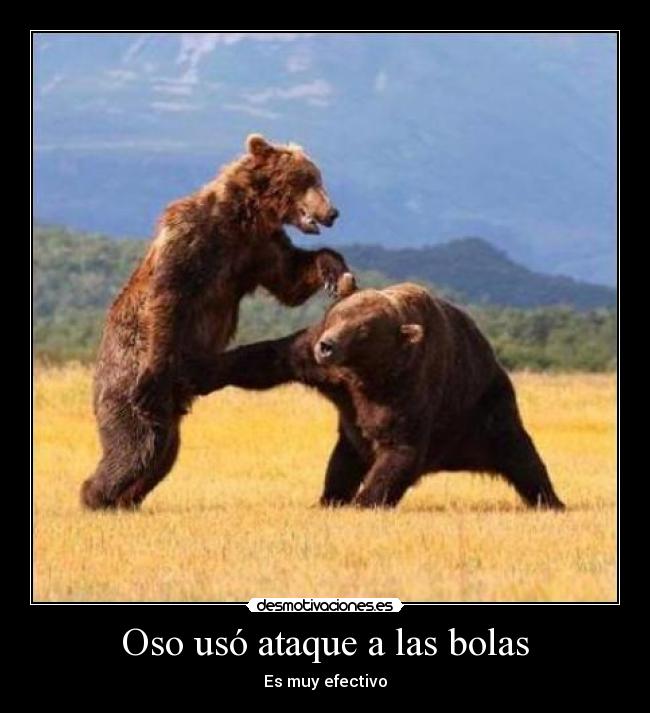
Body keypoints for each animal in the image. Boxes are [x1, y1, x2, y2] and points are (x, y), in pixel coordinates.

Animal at [80, 134, 356, 510]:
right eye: (308, 179)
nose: (332, 212)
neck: (245, 217)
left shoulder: (258, 249)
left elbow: (291, 279)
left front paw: (336, 273)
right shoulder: (194, 238)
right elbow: (168, 296)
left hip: (172, 407)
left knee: (163, 453)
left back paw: (127, 500)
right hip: (126, 383)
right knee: (136, 445)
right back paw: (96, 496)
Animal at [195, 282, 565, 510]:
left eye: (362, 330)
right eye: (338, 314)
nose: (327, 345)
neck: (363, 373)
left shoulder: (404, 391)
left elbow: (399, 450)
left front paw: (365, 501)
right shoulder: (328, 373)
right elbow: (271, 358)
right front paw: (203, 372)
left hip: (485, 408)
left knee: (521, 455)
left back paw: (551, 501)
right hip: (353, 437)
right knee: (341, 462)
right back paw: (329, 499)